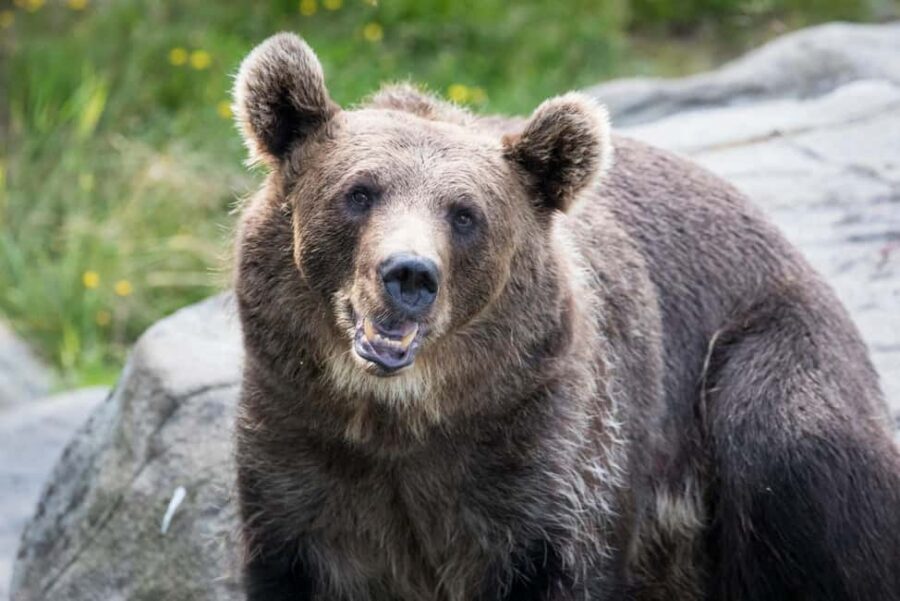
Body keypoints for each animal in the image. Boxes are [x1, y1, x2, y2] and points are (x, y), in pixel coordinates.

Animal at [231, 33, 900, 601]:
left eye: (465, 214)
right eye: (360, 192)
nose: (409, 275)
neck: (399, 416)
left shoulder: (544, 457)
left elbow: (560, 552)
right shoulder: (297, 446)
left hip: (761, 360)